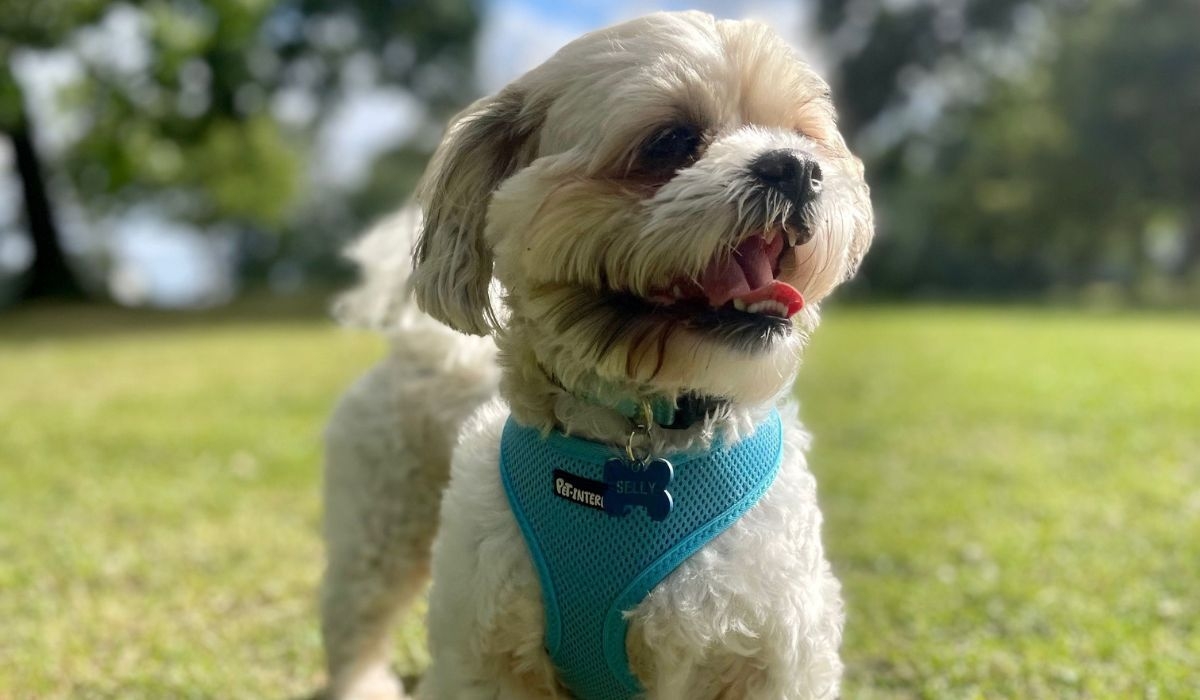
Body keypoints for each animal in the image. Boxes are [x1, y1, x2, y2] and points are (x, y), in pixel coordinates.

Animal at [321, 12, 873, 700]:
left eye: (804, 137)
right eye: (671, 141)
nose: (796, 167)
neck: (642, 443)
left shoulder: (773, 651)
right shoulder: (484, 652)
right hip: (379, 527)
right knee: (354, 619)